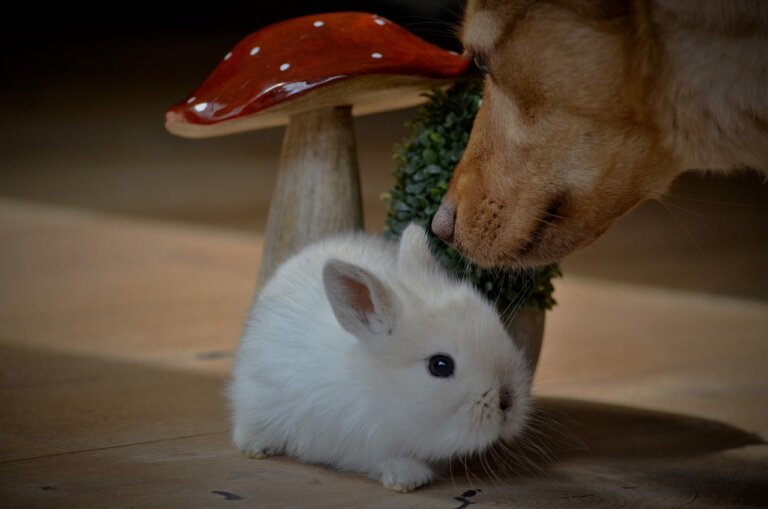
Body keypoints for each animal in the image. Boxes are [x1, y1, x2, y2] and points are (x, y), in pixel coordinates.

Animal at [228, 223, 536, 492]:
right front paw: (407, 477)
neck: (378, 387)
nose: (508, 402)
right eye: (440, 365)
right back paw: (256, 447)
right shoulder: (356, 442)